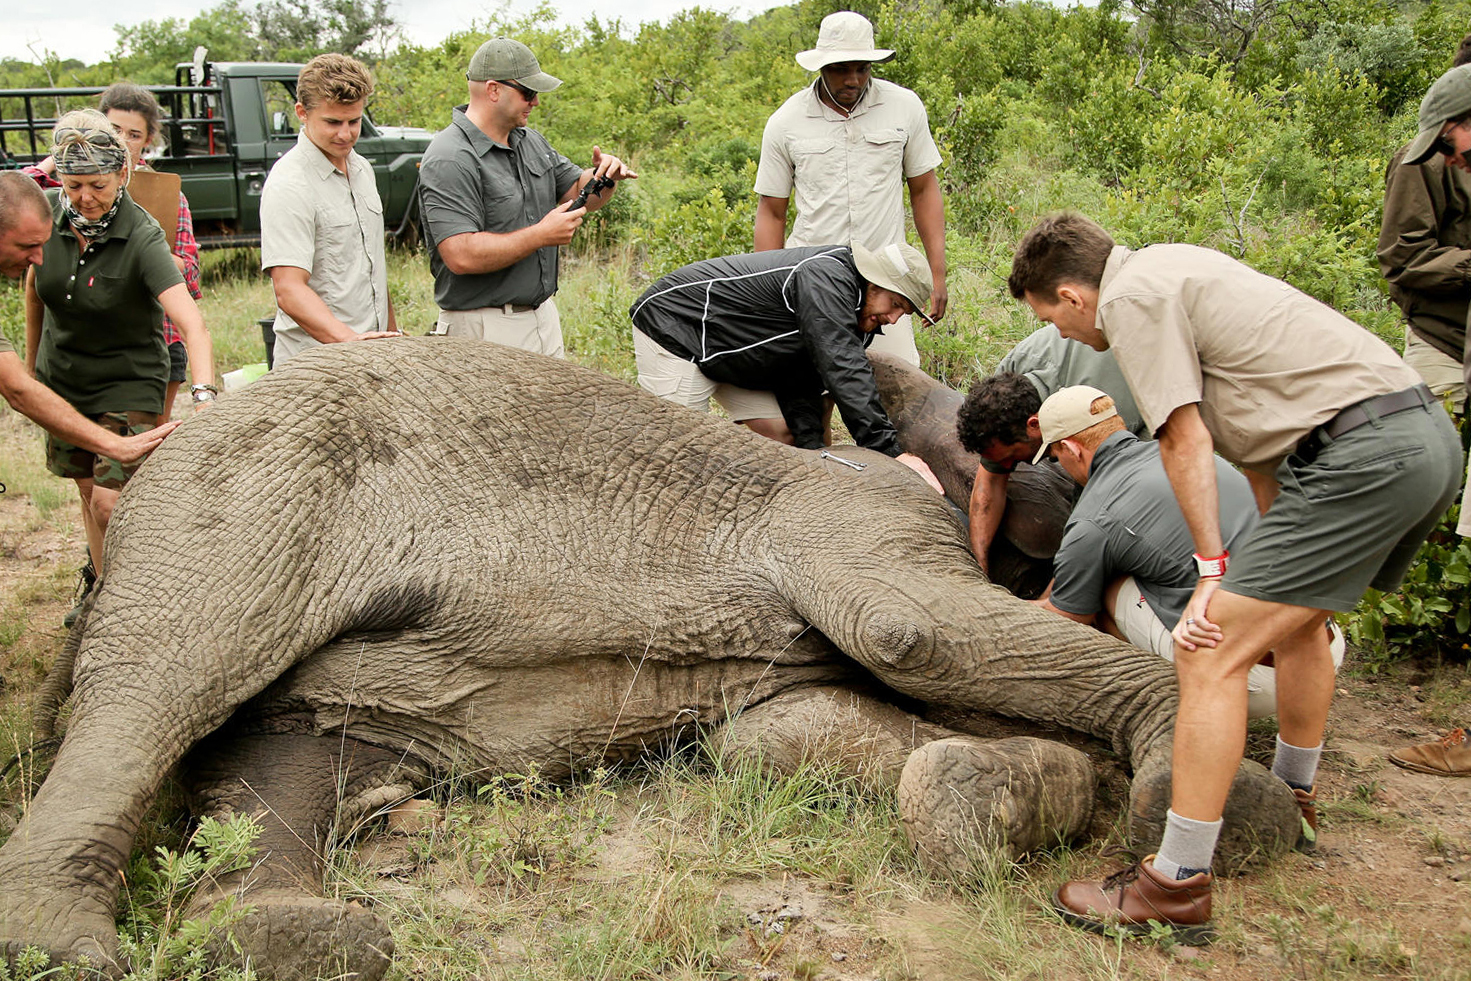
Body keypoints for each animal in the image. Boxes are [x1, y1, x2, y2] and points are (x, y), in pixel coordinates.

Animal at [0, 339, 1302, 979]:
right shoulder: (859, 517)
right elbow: (912, 628)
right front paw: (1213, 799)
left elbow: (783, 738)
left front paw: (1000, 792)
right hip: (249, 492)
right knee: (165, 675)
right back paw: (61, 948)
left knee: (284, 760)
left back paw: (282, 940)